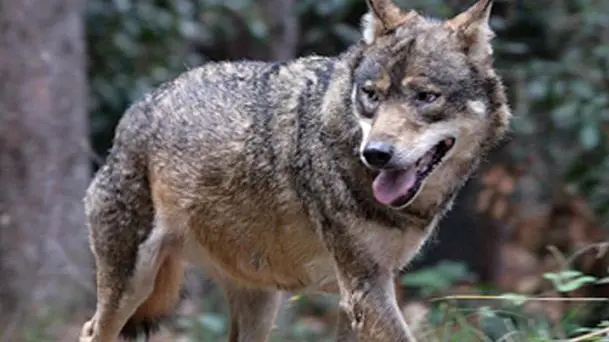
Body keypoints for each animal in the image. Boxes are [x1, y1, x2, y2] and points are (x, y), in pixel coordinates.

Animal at [78, 0, 510, 340]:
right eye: (371, 94)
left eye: (425, 97)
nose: (376, 154)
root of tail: (138, 107)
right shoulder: (364, 287)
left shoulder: (357, 296)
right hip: (131, 286)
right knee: (89, 330)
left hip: (260, 302)